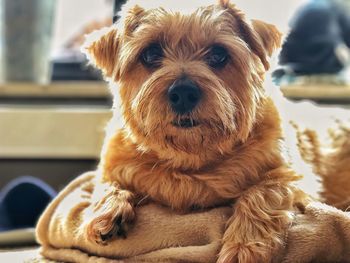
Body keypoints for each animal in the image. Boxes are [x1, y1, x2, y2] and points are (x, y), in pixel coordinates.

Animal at [81, 0, 350, 262]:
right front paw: (105, 210)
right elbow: (104, 183)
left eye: (219, 54)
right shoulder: (114, 165)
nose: (183, 93)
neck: (191, 157)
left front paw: (244, 246)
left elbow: (263, 192)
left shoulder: (293, 178)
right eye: (150, 53)